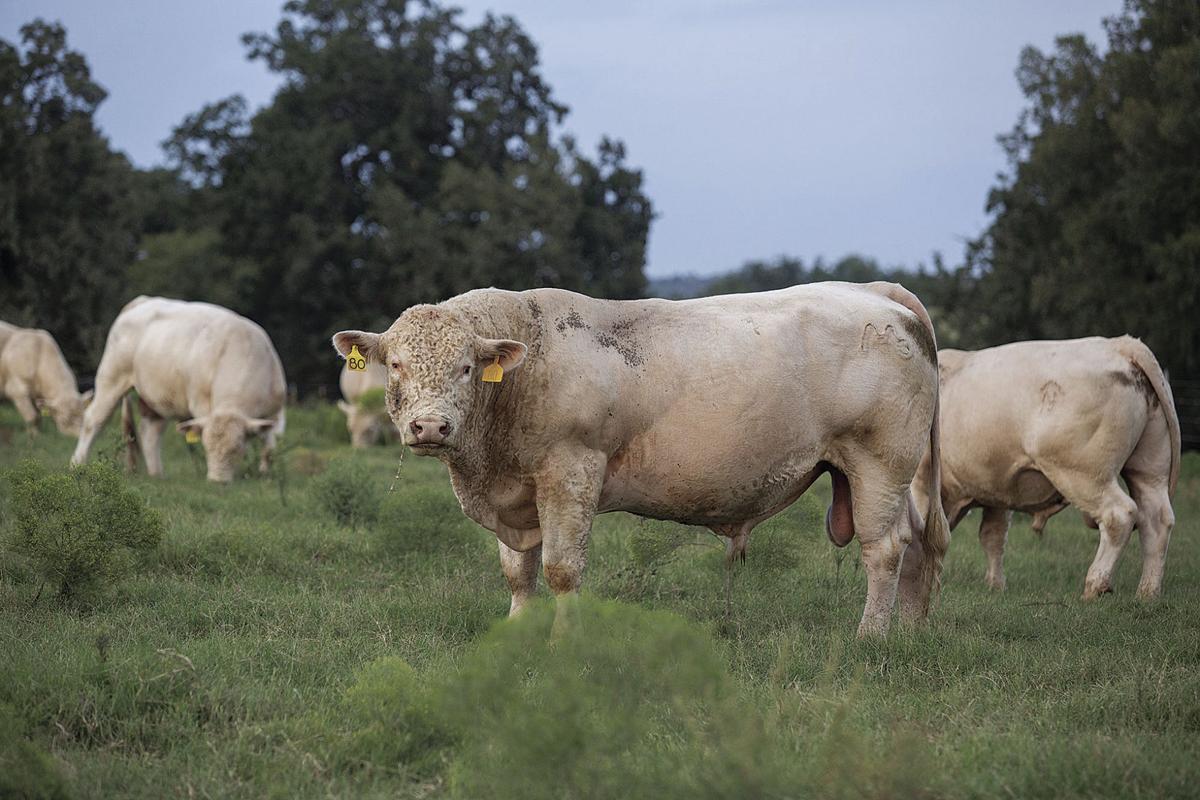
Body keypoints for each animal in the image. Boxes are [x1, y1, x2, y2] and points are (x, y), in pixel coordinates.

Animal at [70, 296, 286, 482]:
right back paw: (77, 464)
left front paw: (266, 474)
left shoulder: (273, 412)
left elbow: (269, 447)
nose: (217, 481)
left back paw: (157, 475)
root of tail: (143, 301)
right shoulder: (201, 405)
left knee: (150, 432)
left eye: (237, 450)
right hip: (112, 377)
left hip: (155, 398)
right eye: (206, 447)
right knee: (93, 420)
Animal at [333, 284, 950, 637]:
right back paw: (910, 629)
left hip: (878, 462)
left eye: (465, 368)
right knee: (917, 541)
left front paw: (563, 642)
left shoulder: (571, 472)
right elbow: (517, 571)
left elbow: (560, 569)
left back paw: (870, 637)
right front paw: (517, 632)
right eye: (396, 366)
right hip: (887, 476)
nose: (430, 427)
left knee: (884, 549)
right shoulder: (515, 495)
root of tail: (884, 297)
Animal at [911, 337, 1180, 600]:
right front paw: (995, 586)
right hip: (1148, 470)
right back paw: (1146, 594)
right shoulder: (996, 488)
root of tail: (1122, 344)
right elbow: (993, 536)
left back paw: (1095, 586)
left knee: (1119, 515)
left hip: (1084, 474)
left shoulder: (921, 481)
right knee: (1157, 520)